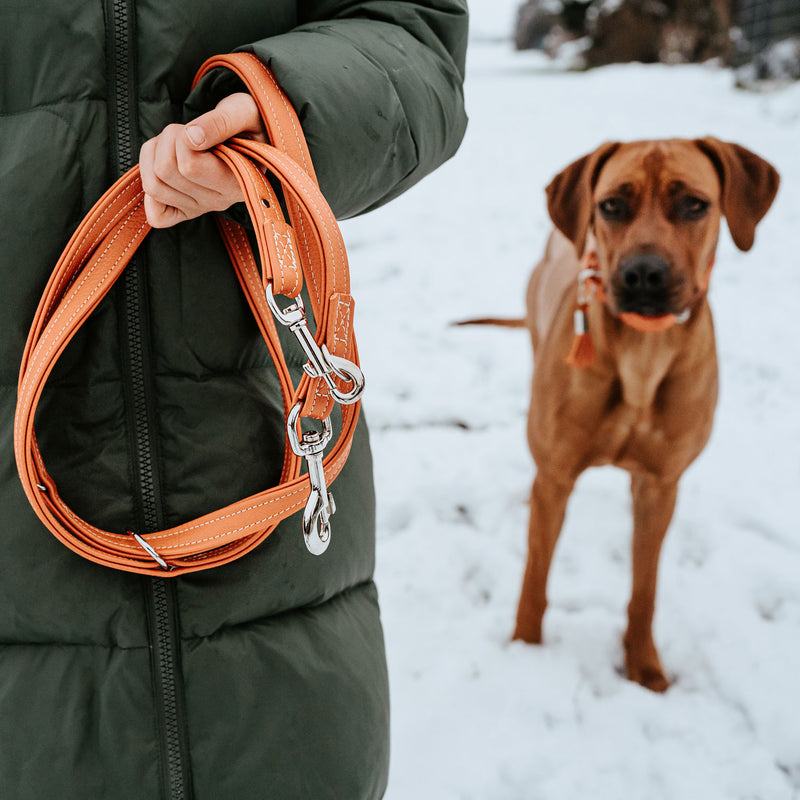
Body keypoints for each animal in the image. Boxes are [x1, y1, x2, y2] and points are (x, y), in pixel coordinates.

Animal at [510, 136, 780, 688]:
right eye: (612, 205)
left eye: (694, 204)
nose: (643, 274)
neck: (642, 355)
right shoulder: (556, 477)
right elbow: (535, 577)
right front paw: (525, 650)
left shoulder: (661, 484)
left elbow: (645, 587)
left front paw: (644, 666)